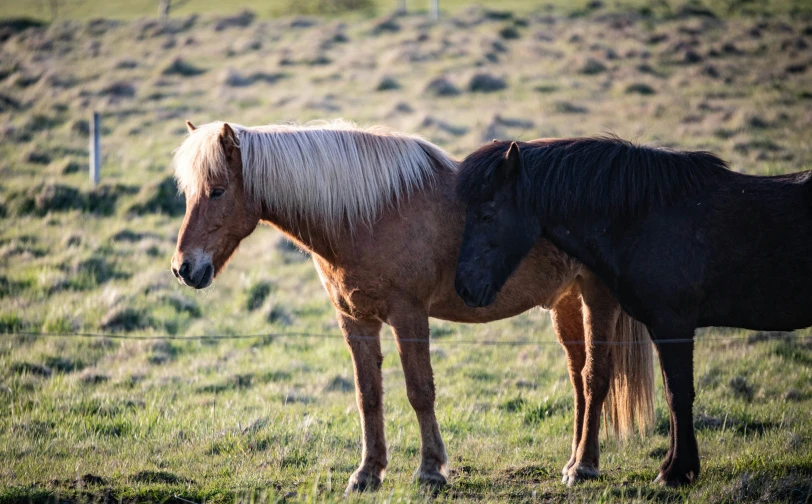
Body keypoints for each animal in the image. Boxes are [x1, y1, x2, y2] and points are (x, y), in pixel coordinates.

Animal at [170, 120, 652, 490]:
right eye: (190, 193)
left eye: (217, 191)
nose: (184, 268)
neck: (366, 214)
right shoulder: (356, 320)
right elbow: (368, 394)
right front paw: (367, 473)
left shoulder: (409, 316)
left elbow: (420, 391)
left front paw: (430, 471)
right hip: (566, 302)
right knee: (578, 379)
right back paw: (573, 461)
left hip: (597, 297)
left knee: (595, 377)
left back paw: (585, 468)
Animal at [454, 137, 812, 484]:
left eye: (487, 215)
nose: (464, 287)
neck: (646, 218)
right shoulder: (659, 326)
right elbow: (670, 393)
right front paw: (674, 466)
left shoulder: (673, 324)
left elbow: (678, 394)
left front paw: (676, 472)